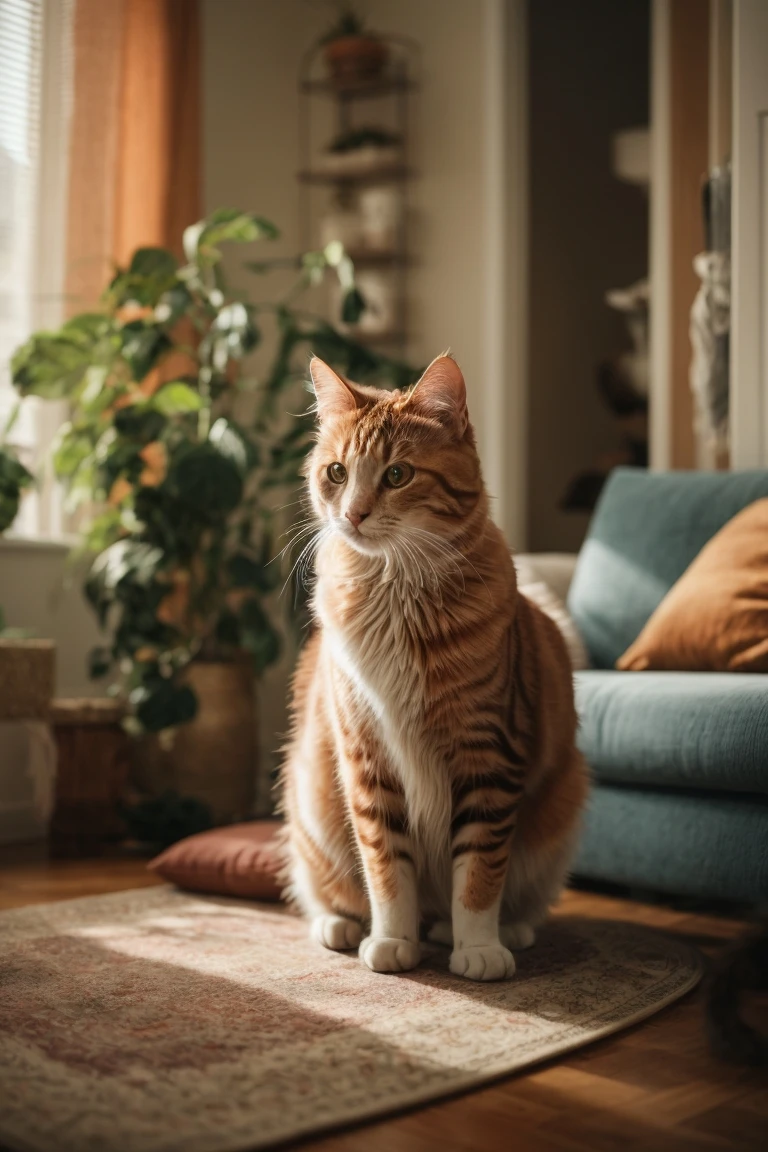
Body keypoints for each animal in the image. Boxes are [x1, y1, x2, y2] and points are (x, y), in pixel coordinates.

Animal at [282, 352, 589, 981]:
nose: (353, 514)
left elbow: (479, 871)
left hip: (561, 810)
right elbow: (385, 866)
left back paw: (495, 931)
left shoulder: (490, 754)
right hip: (313, 801)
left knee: (512, 896)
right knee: (325, 890)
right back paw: (340, 926)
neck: (396, 597)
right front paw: (391, 940)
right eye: (336, 473)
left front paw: (477, 947)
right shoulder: (367, 758)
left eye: (398, 475)